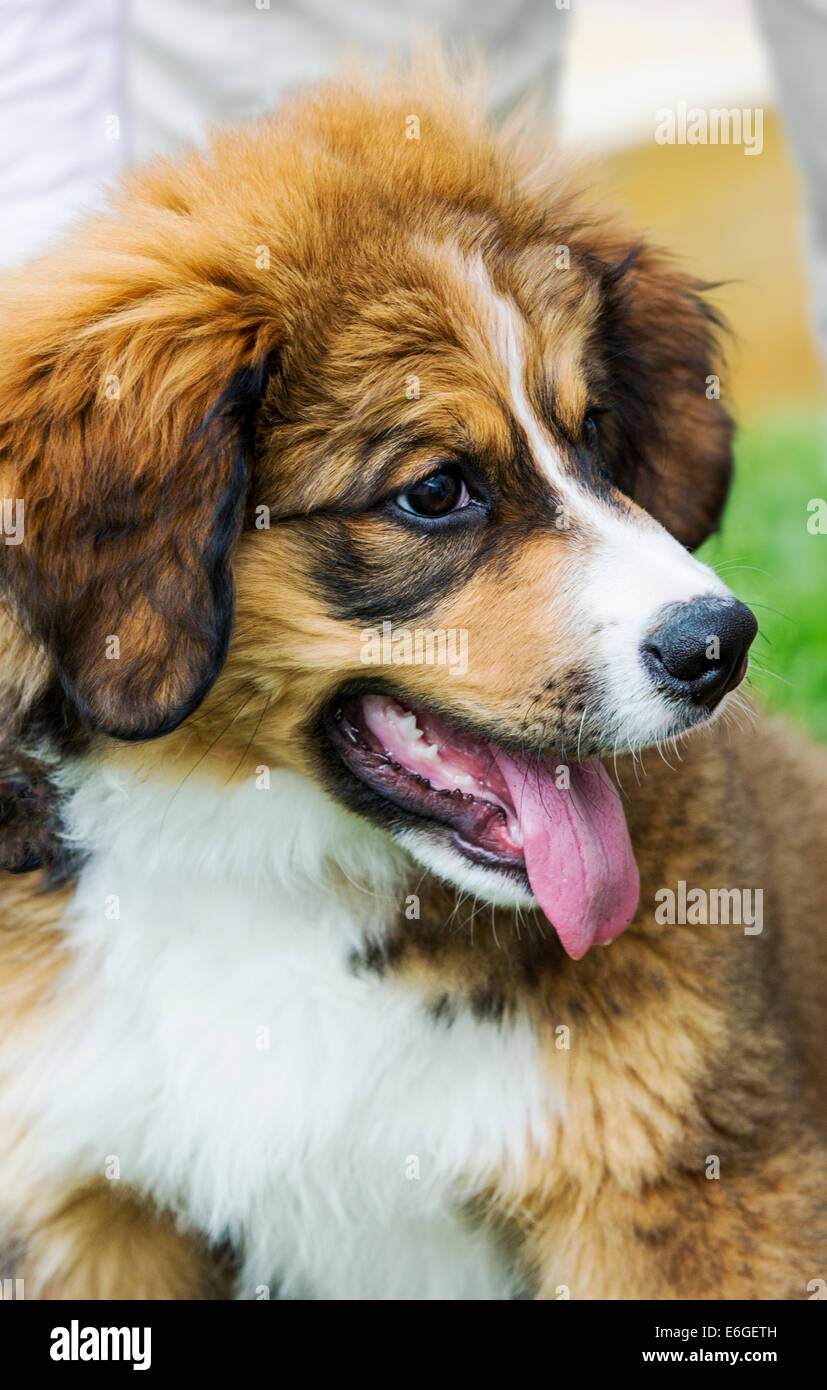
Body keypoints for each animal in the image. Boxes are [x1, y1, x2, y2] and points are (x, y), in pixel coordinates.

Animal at [0, 62, 822, 1301]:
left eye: (593, 433)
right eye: (434, 491)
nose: (718, 645)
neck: (276, 881)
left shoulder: (685, 1193)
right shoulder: (91, 1211)